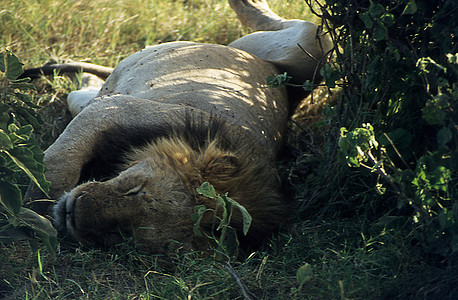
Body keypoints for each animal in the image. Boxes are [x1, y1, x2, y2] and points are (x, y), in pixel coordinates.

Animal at [25, 0, 330, 254]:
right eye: (136, 189)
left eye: (125, 234)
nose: (74, 212)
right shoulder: (113, 110)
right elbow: (58, 168)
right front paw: (35, 212)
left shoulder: (105, 109)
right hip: (309, 49)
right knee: (286, 24)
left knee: (81, 88)